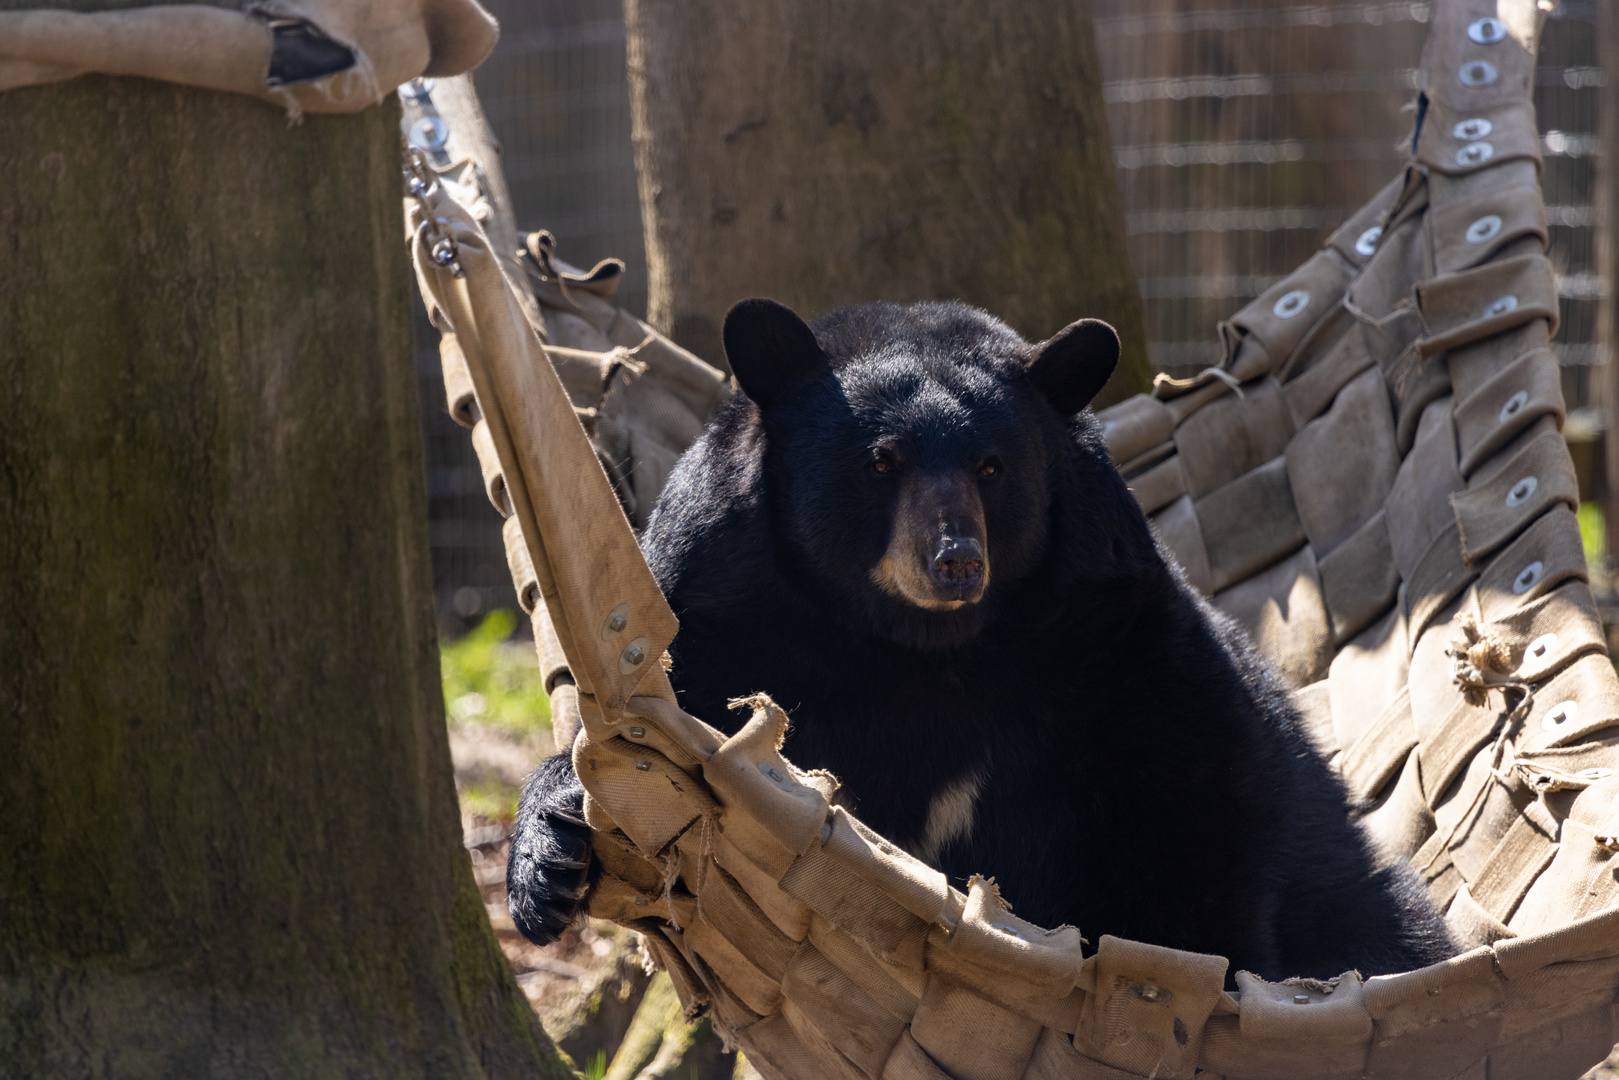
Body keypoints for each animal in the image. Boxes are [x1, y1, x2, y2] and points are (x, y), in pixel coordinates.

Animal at [508, 296, 1457, 977]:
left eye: (993, 466)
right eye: (880, 459)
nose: (955, 560)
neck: (926, 652)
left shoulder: (1117, 641)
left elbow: (1193, 809)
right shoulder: (724, 609)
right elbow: (645, 730)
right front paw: (548, 871)